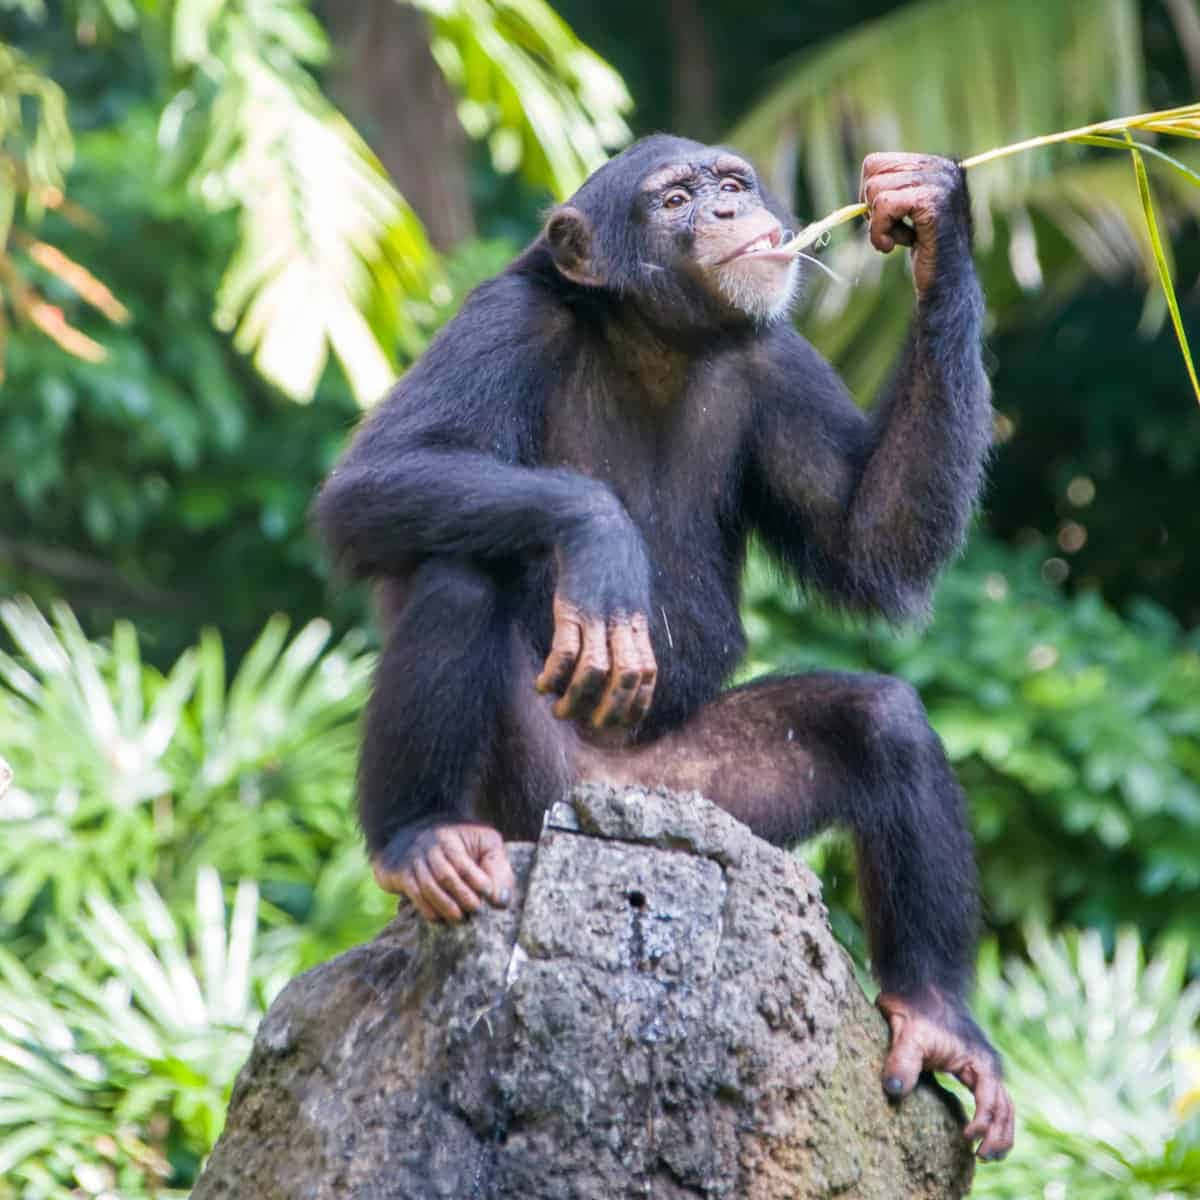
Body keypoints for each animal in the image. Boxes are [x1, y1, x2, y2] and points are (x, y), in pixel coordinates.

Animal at [316, 136, 1012, 1156]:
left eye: (730, 182)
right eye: (675, 199)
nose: (726, 211)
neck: (654, 338)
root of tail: (610, 804)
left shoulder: (781, 360)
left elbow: (868, 534)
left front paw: (929, 210)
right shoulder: (500, 325)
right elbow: (374, 479)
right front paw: (601, 540)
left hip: (709, 805)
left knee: (880, 721)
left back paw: (934, 1016)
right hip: (528, 799)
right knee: (458, 575)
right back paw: (424, 840)